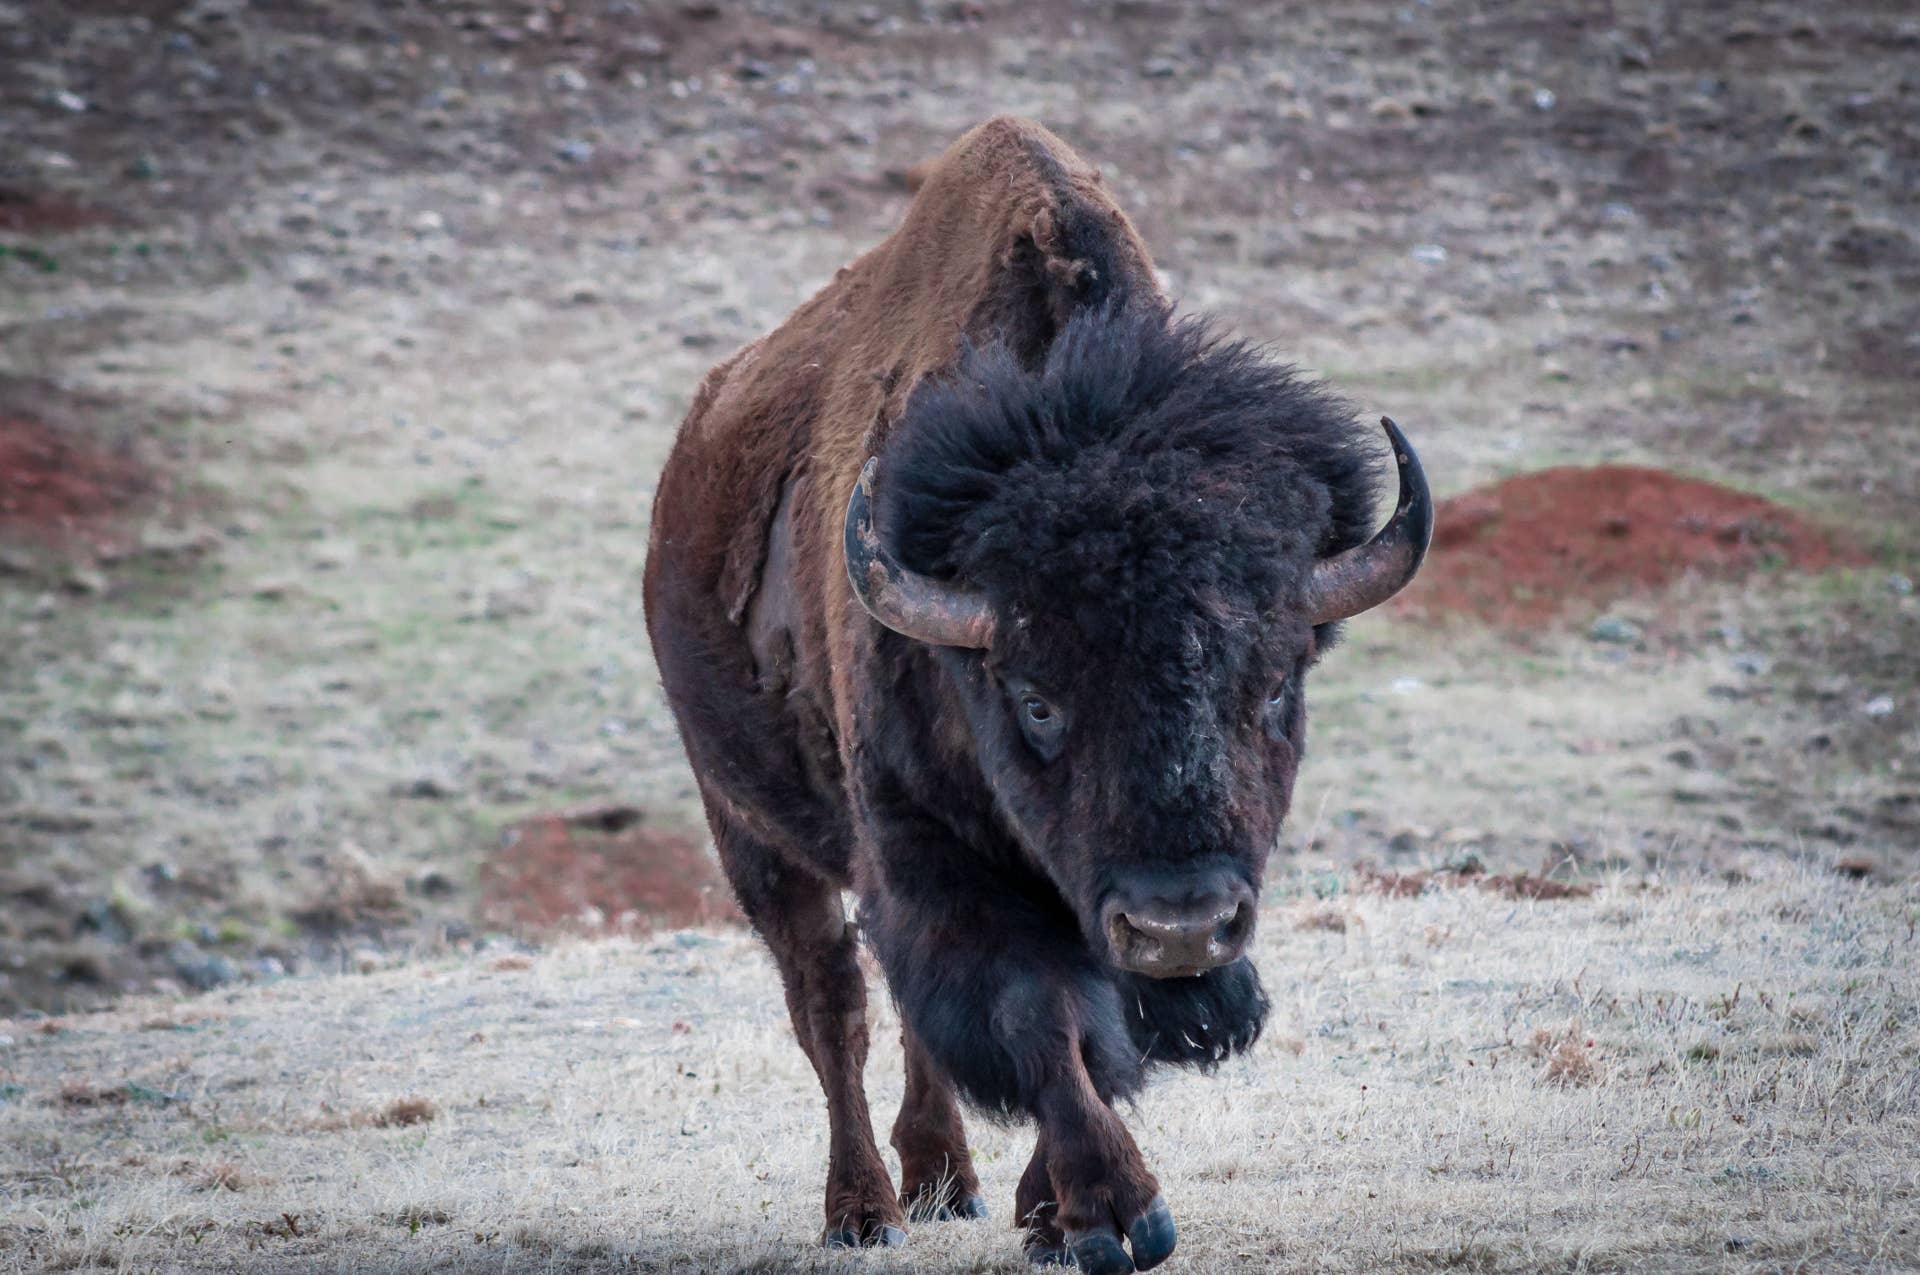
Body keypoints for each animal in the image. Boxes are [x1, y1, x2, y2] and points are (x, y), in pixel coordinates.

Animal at [644, 116, 1430, 1272]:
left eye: (1277, 685)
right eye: (1037, 699)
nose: (1181, 926)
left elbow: (1087, 1037)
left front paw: (1050, 1215)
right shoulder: (929, 854)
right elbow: (1035, 1018)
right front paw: (1115, 1214)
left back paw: (945, 1185)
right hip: (751, 828)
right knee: (832, 1001)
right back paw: (865, 1210)